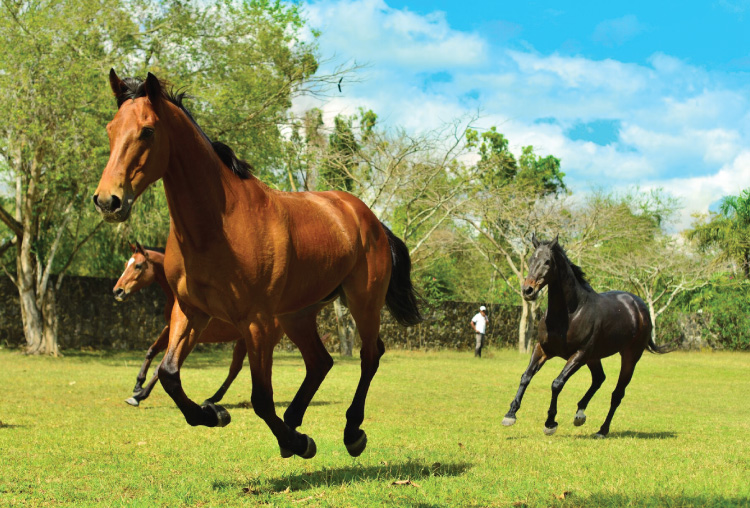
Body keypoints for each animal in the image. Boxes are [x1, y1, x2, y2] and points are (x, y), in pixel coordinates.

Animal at [113, 242, 252, 408]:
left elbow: (162, 366)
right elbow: (152, 350)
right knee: (235, 368)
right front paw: (138, 384)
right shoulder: (170, 329)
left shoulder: (191, 335)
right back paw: (212, 399)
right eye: (126, 264)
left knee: (235, 368)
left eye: (138, 266)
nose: (117, 291)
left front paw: (139, 395)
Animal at [502, 235, 669, 438]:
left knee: (617, 393)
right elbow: (526, 376)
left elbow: (557, 383)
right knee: (599, 379)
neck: (569, 313)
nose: (528, 291)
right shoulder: (542, 349)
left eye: (548, 261)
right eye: (531, 259)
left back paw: (602, 430)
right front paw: (510, 415)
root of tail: (640, 307)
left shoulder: (579, 355)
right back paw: (580, 414)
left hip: (629, 357)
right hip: (594, 357)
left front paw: (550, 423)